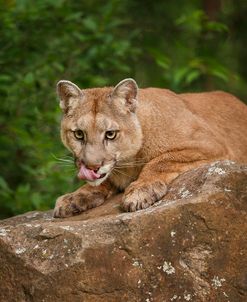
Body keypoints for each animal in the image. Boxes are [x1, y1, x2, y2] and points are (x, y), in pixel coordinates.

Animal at [53, 79, 247, 217]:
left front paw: (140, 191)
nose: (92, 167)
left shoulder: (212, 146)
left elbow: (160, 161)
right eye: (79, 134)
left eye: (110, 134)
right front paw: (76, 196)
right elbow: (103, 180)